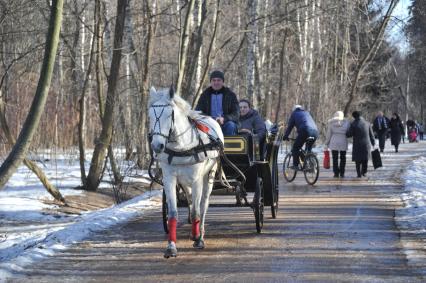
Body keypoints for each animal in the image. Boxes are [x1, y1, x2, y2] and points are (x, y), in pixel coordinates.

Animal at [149, 87, 225, 260]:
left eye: (169, 114)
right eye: (150, 115)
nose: (157, 146)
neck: (182, 147)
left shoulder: (197, 179)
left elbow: (197, 210)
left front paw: (198, 239)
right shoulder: (170, 179)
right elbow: (172, 214)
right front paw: (171, 247)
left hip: (208, 177)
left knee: (203, 204)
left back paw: (200, 233)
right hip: (184, 182)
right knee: (190, 199)